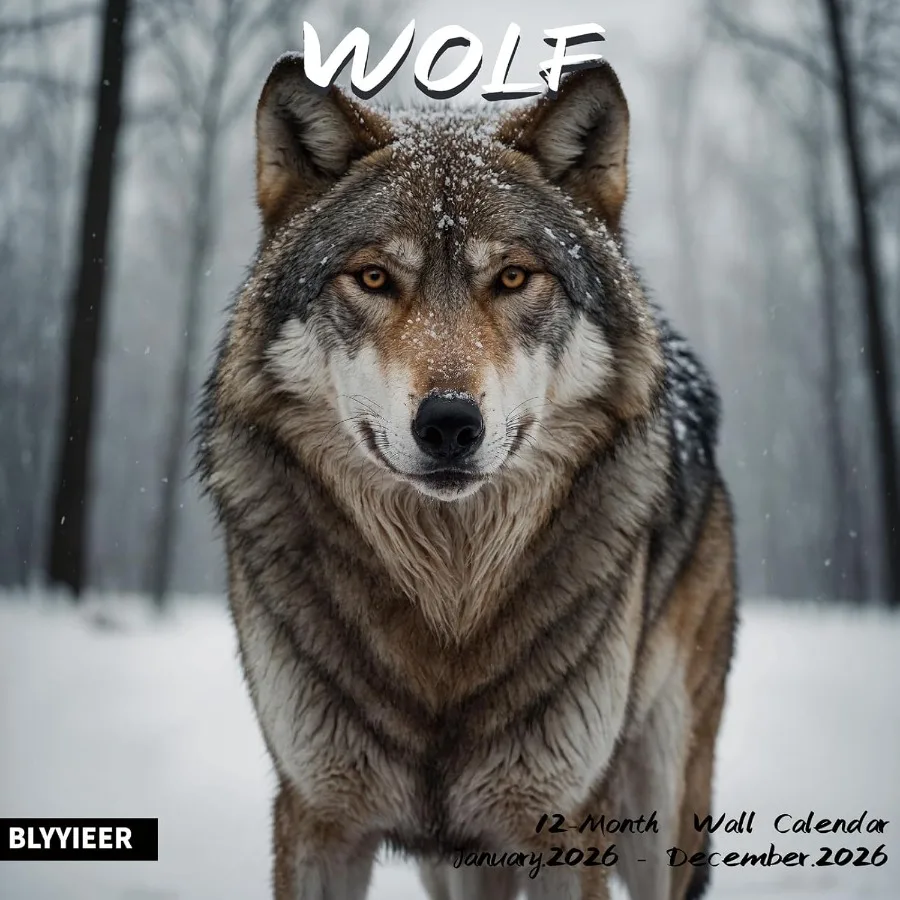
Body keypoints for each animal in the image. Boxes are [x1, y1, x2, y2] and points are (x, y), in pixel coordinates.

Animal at [197, 52, 738, 900]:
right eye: (374, 278)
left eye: (513, 278)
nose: (449, 424)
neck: (447, 610)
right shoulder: (318, 816)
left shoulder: (564, 822)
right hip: (456, 858)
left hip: (657, 807)